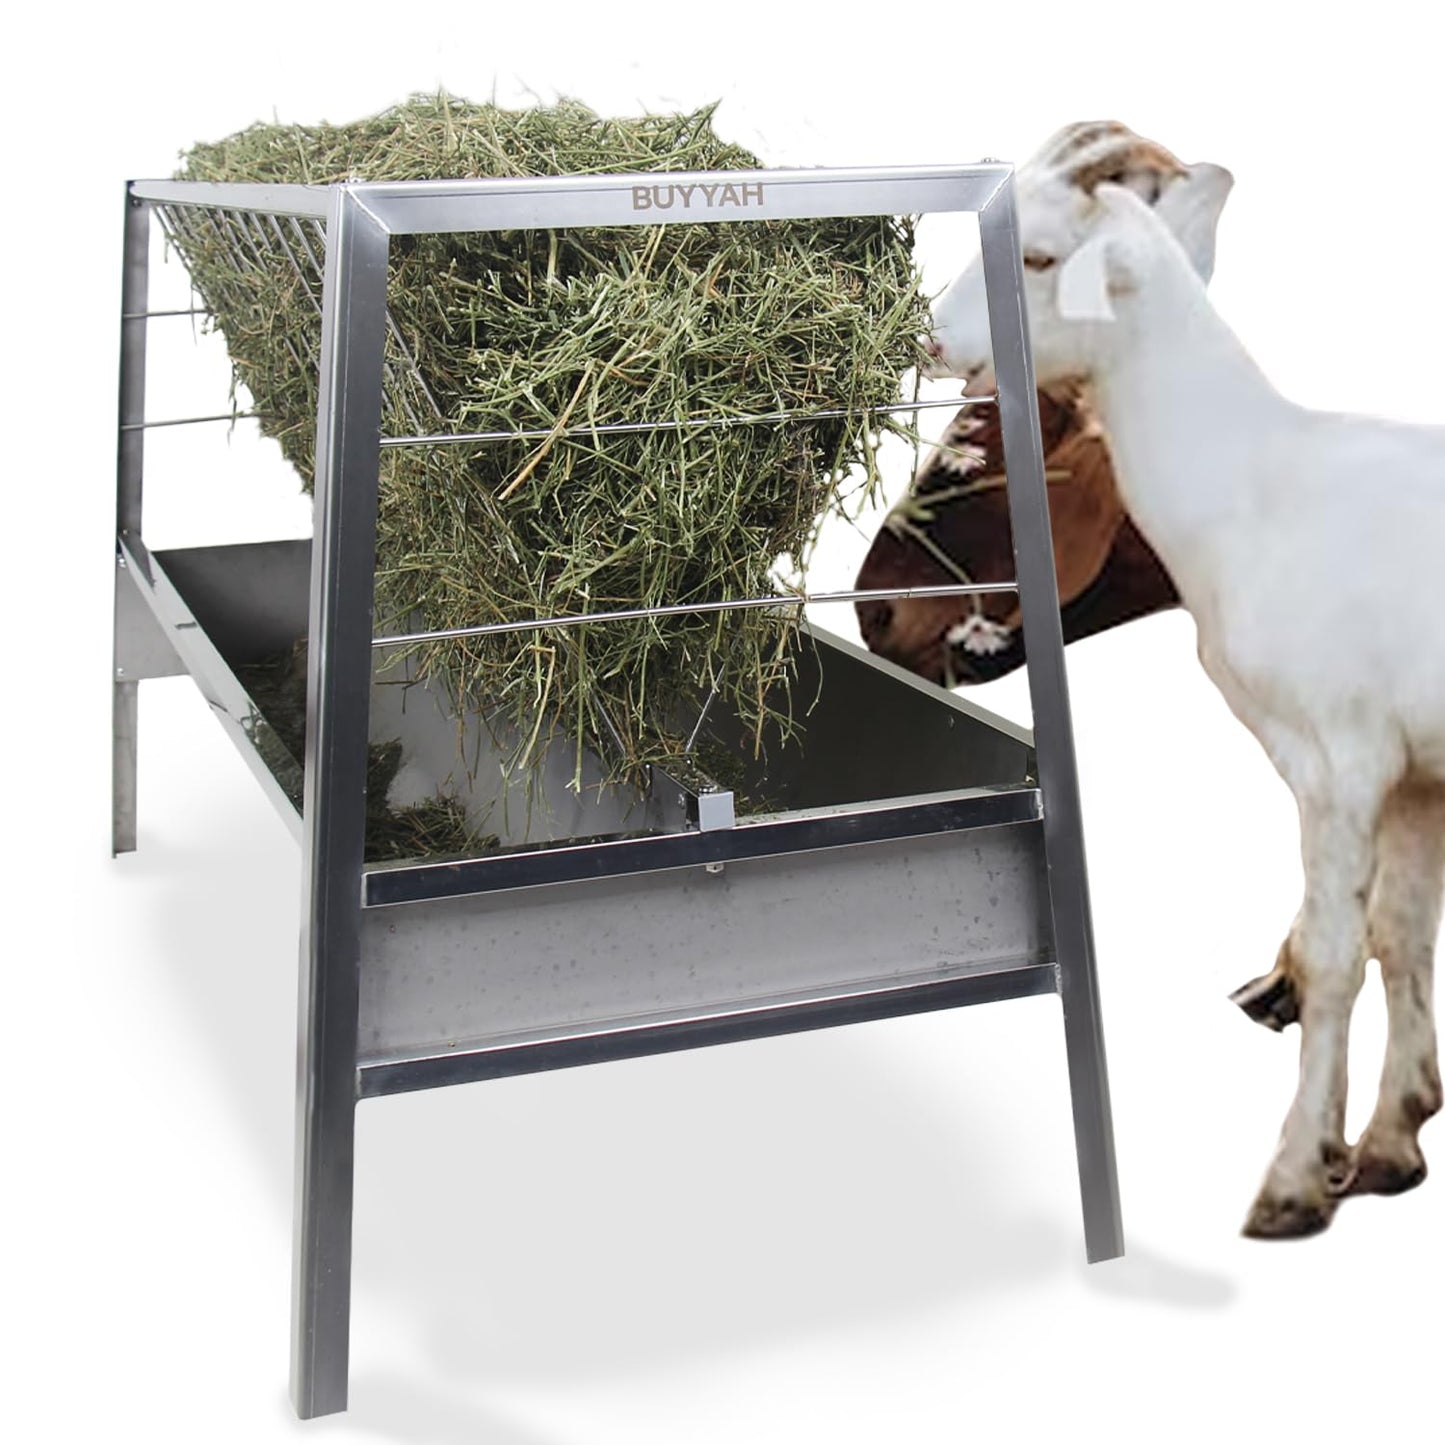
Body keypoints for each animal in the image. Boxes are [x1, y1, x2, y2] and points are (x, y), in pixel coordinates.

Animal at [926, 167, 1445, 1238]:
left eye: (1036, 256)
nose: (931, 337)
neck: (1257, 489)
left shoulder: (1344, 757)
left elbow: (1335, 954)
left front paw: (1294, 1178)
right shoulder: (1416, 774)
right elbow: (1401, 936)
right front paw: (1390, 1141)